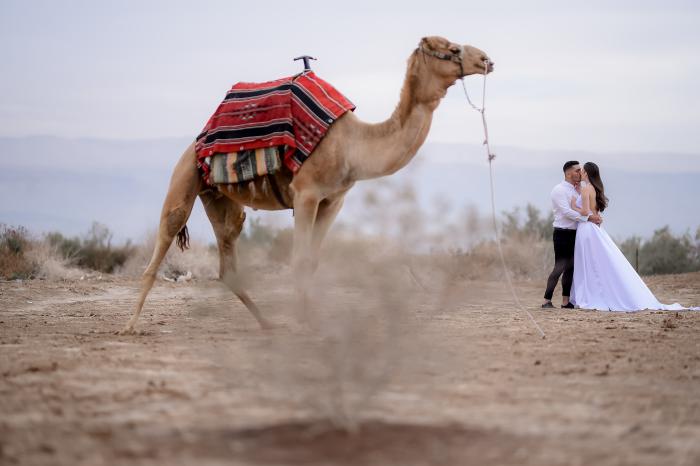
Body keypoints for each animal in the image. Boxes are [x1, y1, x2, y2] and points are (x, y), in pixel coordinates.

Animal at [119, 37, 492, 334]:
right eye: (452, 49)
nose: (486, 59)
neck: (354, 143)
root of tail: (198, 139)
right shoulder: (307, 193)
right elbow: (299, 261)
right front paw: (307, 324)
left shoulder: (333, 200)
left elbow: (312, 261)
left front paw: (311, 319)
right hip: (184, 178)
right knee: (162, 242)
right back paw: (130, 326)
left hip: (221, 201)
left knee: (228, 261)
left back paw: (267, 322)